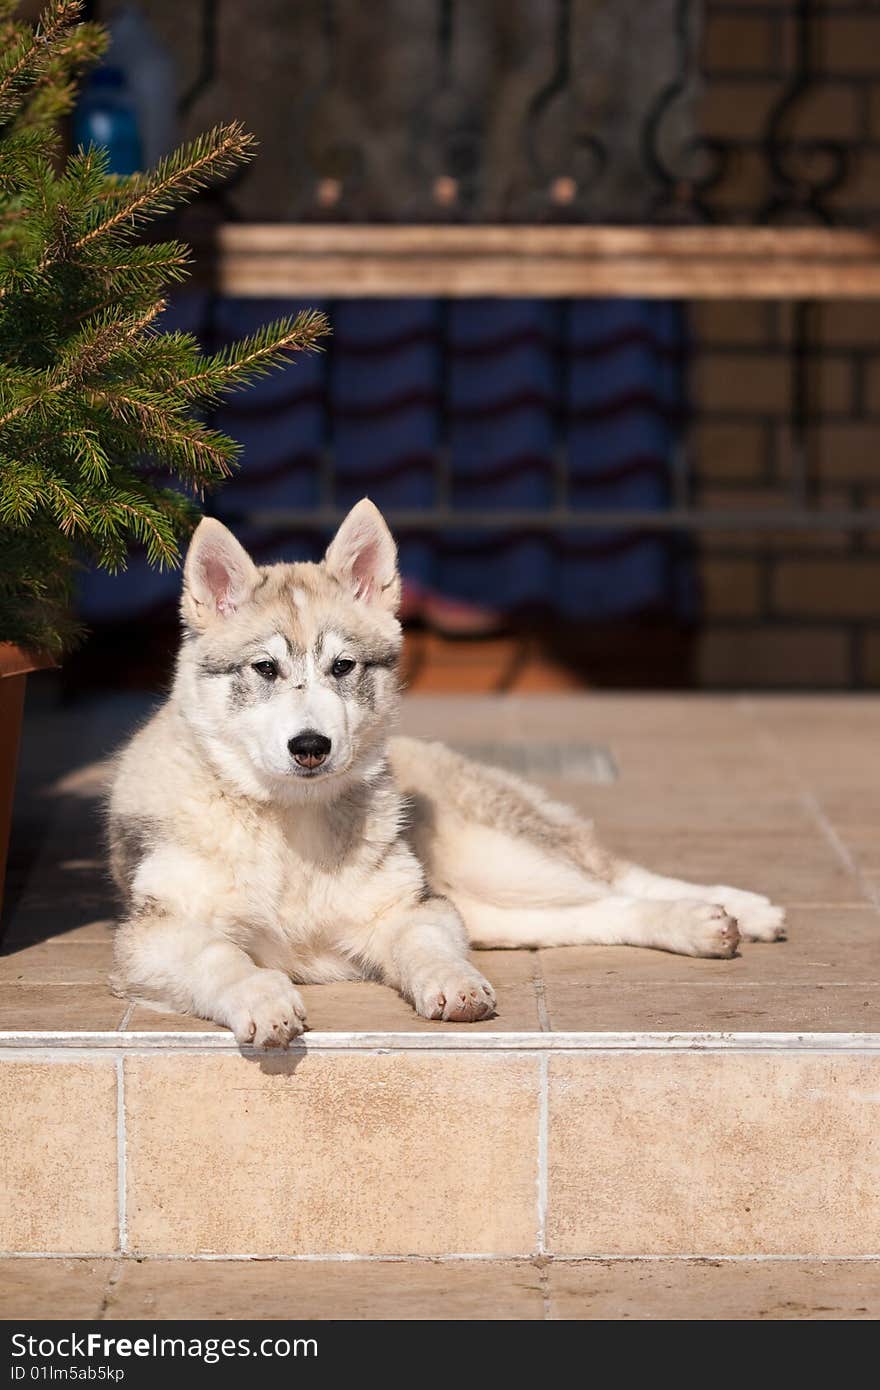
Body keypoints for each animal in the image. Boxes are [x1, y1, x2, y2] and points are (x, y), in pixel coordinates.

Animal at [106, 500, 784, 1045]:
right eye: (265, 669)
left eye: (343, 667)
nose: (311, 747)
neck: (289, 824)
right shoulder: (157, 936)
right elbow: (225, 959)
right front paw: (262, 999)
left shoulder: (415, 907)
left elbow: (423, 946)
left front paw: (454, 985)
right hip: (489, 905)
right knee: (595, 909)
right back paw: (704, 925)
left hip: (495, 859)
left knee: (613, 877)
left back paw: (731, 911)